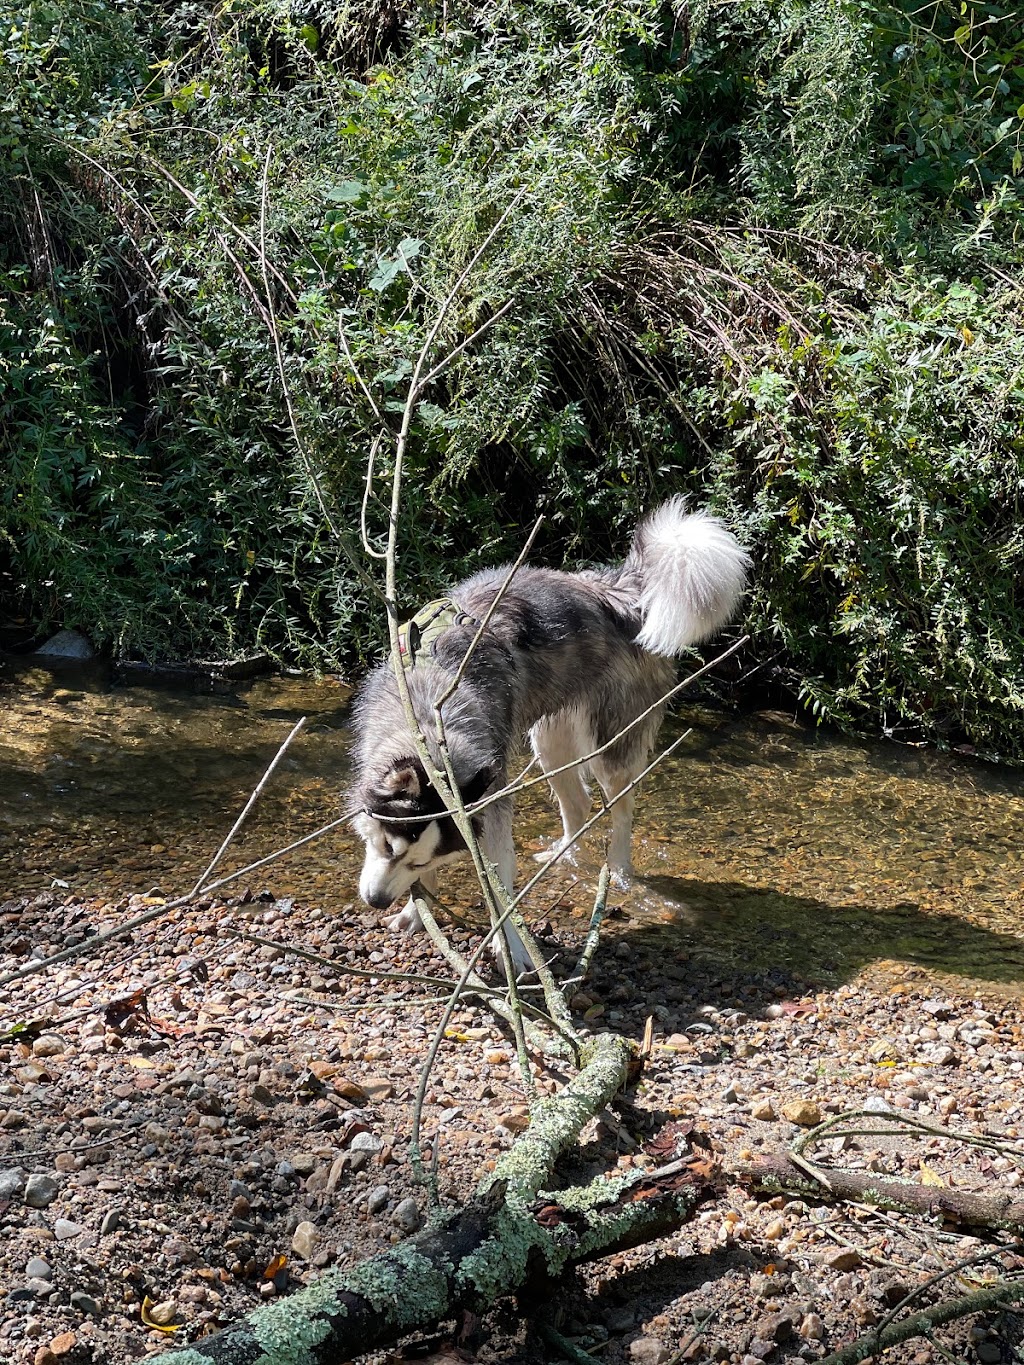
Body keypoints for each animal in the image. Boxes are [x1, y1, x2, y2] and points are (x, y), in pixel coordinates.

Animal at [354, 499, 753, 971]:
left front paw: (509, 943)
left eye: (400, 855)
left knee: (620, 810)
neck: (432, 715)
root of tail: (619, 590)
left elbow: (500, 882)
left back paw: (619, 872)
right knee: (578, 805)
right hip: (552, 740)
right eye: (388, 848)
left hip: (610, 742)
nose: (376, 901)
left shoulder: (493, 801)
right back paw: (564, 858)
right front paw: (418, 911)